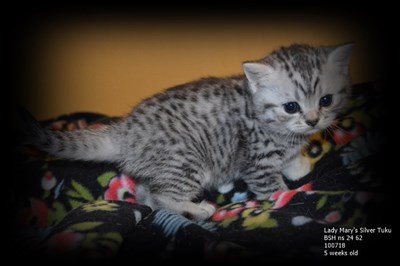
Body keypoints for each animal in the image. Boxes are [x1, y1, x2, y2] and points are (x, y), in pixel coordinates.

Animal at [23, 43, 352, 220]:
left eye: (325, 100)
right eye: (291, 106)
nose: (313, 121)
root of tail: (125, 131)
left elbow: (291, 157)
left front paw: (298, 163)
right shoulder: (257, 161)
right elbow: (270, 188)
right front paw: (287, 195)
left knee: (146, 193)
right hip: (185, 161)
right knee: (161, 196)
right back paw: (197, 210)